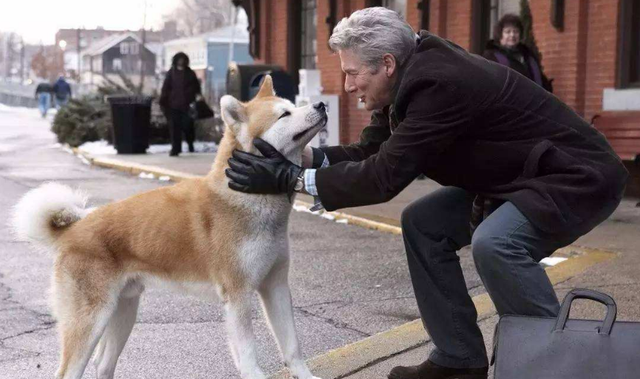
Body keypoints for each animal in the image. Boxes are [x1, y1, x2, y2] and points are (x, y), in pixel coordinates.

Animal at [13, 76, 328, 379]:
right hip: (90, 320)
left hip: (123, 311)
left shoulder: (275, 285)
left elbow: (292, 347)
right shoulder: (238, 293)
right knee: (70, 371)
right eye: (284, 114)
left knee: (103, 365)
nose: (322, 104)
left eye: (293, 106)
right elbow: (249, 356)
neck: (245, 196)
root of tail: (73, 230)